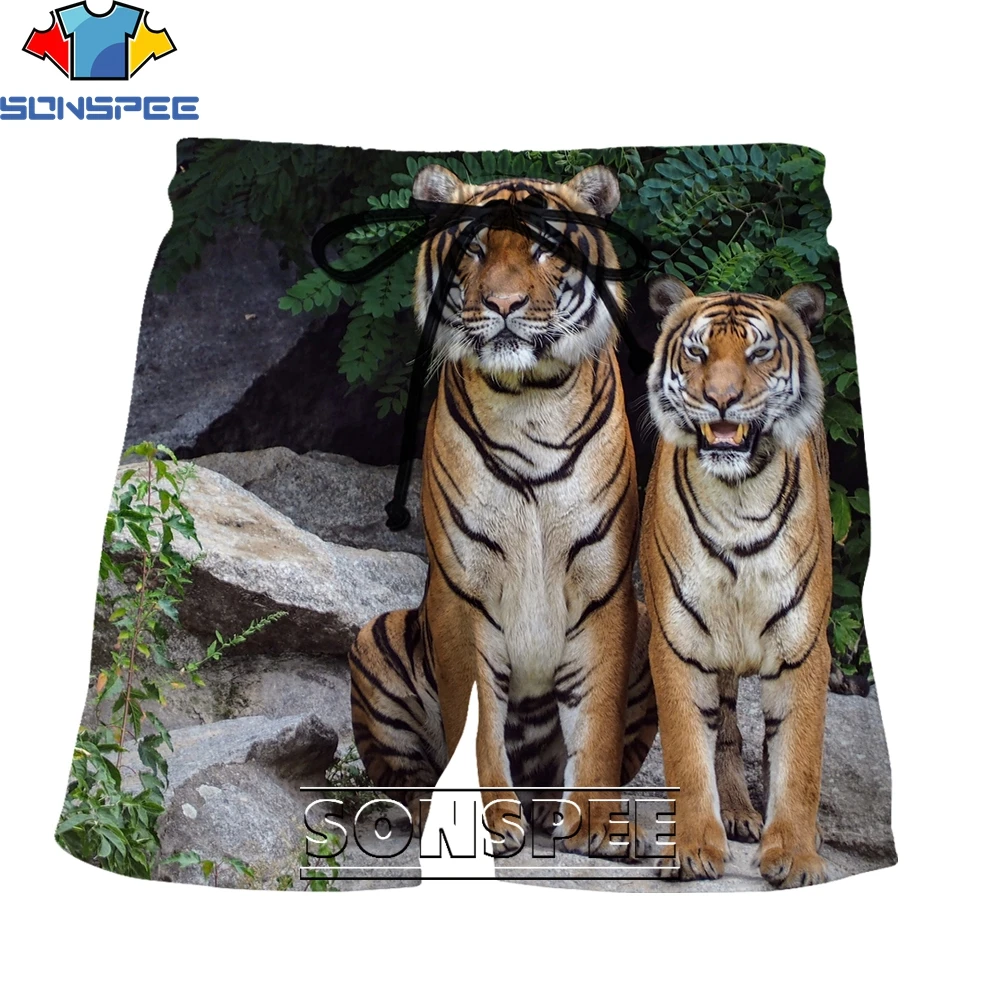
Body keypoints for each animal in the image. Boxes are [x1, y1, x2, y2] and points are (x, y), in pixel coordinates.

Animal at [349, 164, 658, 856]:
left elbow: (596, 722)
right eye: (475, 249)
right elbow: (478, 723)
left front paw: (597, 824)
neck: (530, 399)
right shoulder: (463, 591)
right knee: (401, 776)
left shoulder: (604, 587)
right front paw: (488, 820)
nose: (504, 305)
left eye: (545, 249)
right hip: (375, 636)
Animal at [638, 276, 832, 888]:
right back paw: (738, 815)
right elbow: (686, 747)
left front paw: (795, 855)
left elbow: (799, 759)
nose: (721, 399)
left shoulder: (804, 648)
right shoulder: (677, 642)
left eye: (759, 353)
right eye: (698, 353)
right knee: (725, 730)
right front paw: (692, 848)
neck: (738, 496)